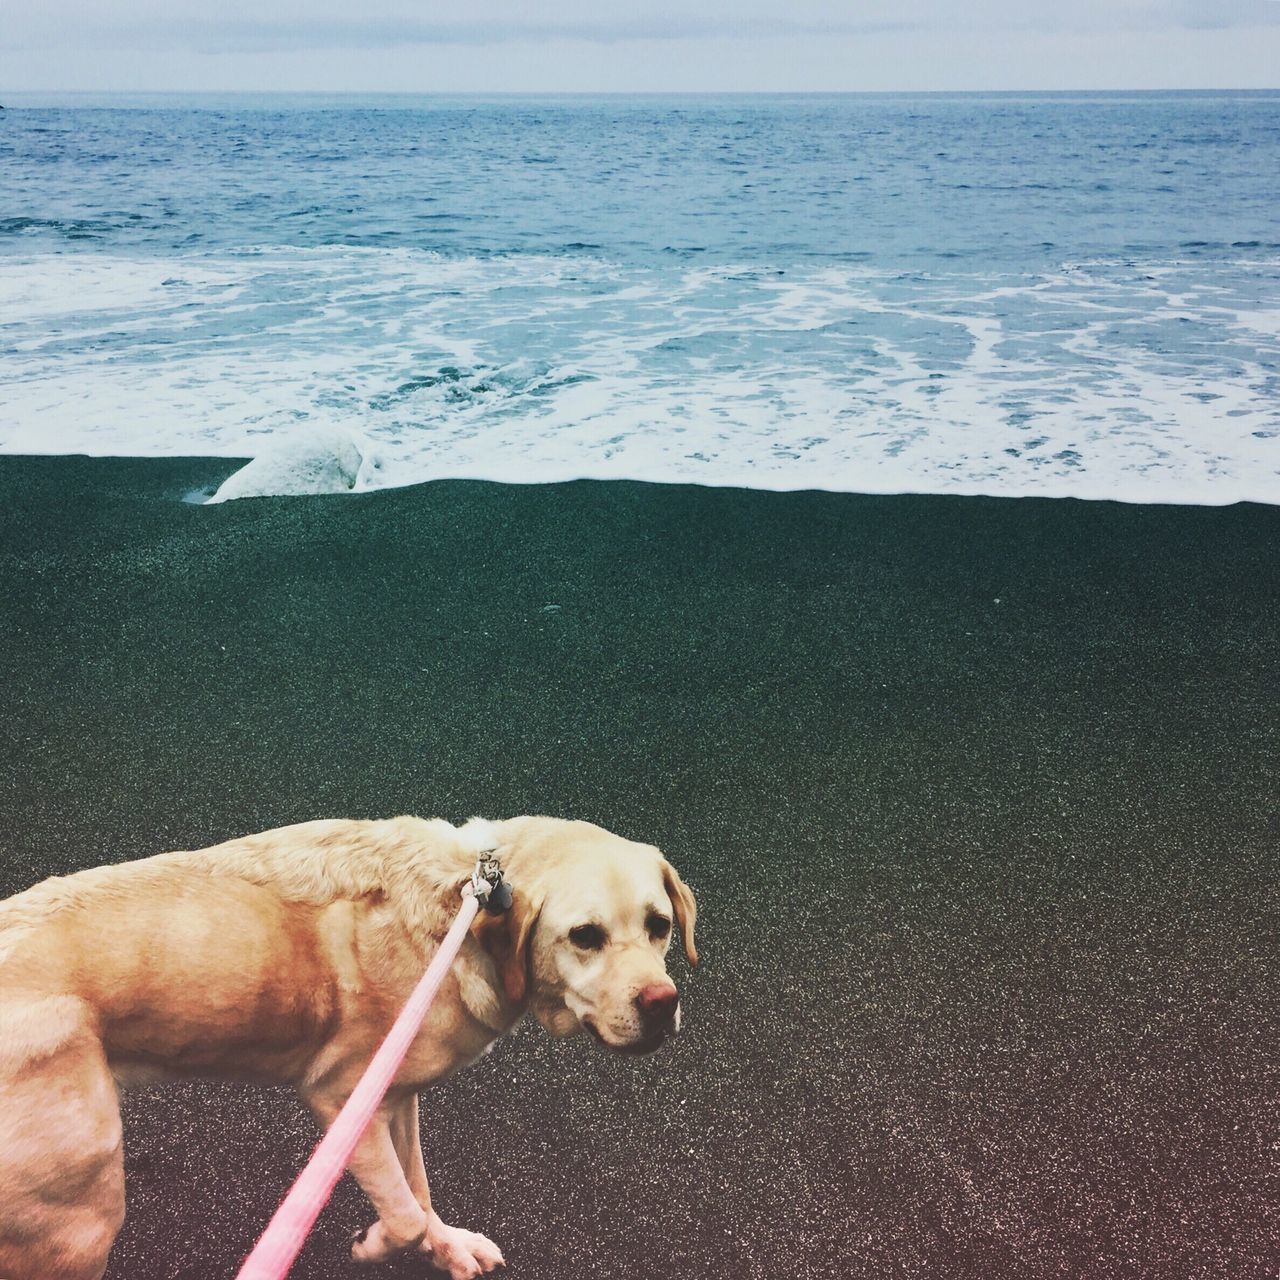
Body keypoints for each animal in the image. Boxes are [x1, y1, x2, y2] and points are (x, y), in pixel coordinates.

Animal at [0, 819, 696, 1280]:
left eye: (660, 926)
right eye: (584, 936)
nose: (661, 1004)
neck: (465, 904)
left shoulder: (393, 1095)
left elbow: (419, 1193)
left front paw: (446, 1248)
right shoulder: (340, 1099)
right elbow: (405, 1212)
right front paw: (376, 1244)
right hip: (78, 1220)